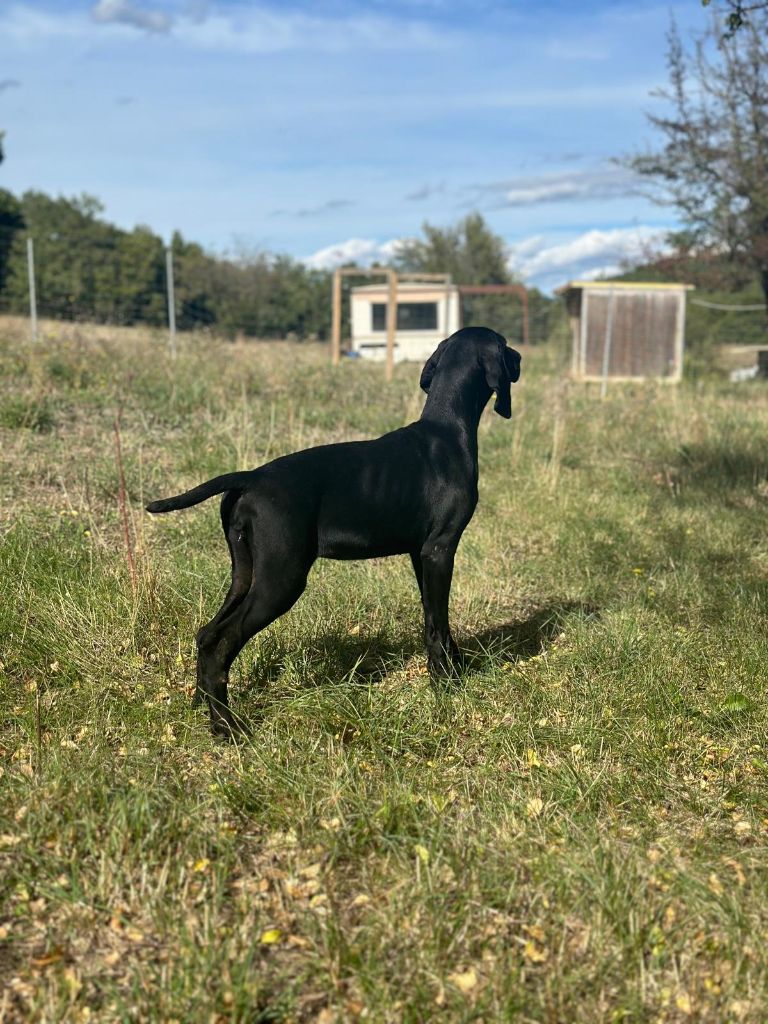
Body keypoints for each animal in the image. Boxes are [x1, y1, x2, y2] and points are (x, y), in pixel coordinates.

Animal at [148, 327, 524, 737]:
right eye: (506, 346)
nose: (521, 358)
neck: (446, 432)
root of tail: (251, 478)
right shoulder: (440, 549)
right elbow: (438, 623)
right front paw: (446, 685)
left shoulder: (419, 554)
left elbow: (431, 617)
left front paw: (452, 671)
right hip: (281, 581)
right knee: (222, 642)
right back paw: (226, 726)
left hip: (245, 574)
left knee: (206, 635)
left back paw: (203, 706)